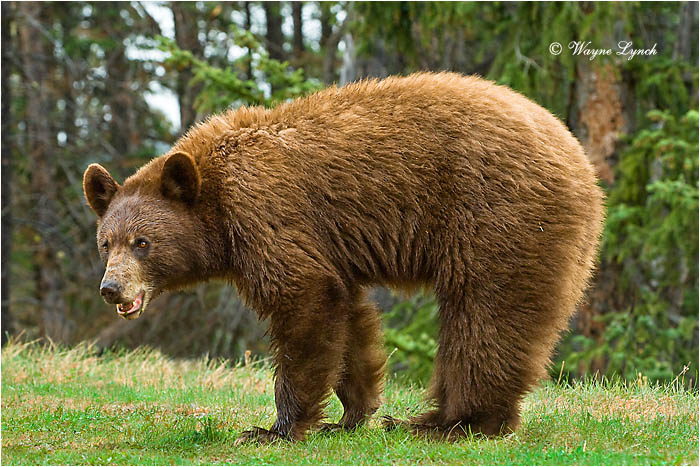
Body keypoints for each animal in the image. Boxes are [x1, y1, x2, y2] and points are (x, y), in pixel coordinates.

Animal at [83, 72, 605, 442]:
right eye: (106, 242)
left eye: (142, 242)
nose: (111, 288)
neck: (216, 204)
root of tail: (580, 160)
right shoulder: (331, 251)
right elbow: (348, 316)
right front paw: (352, 413)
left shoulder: (267, 214)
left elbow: (303, 301)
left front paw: (276, 428)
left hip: (499, 218)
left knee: (487, 315)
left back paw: (451, 423)